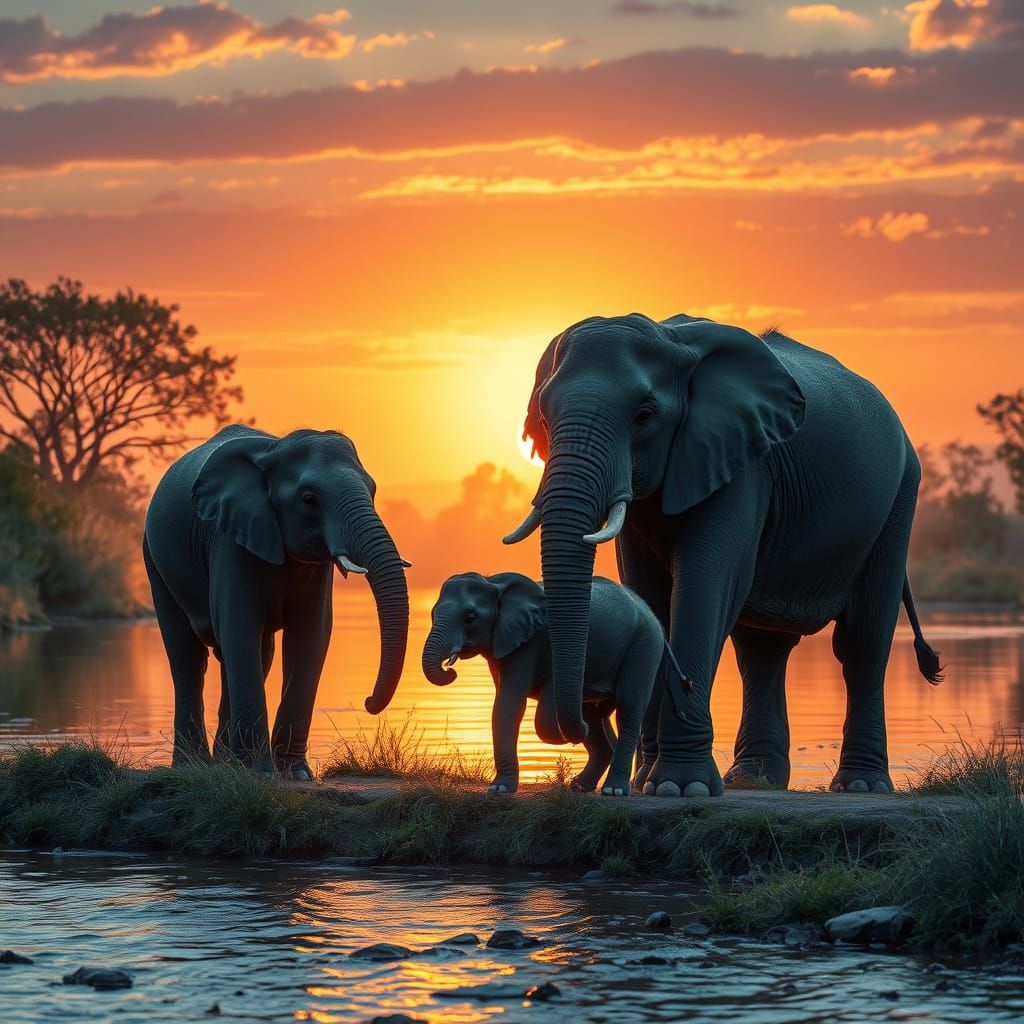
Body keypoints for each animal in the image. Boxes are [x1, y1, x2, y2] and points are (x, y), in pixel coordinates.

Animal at [143, 424, 410, 779]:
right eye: (308, 499)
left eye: (373, 489)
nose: (368, 702)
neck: (273, 452)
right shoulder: (229, 538)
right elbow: (240, 626)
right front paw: (261, 774)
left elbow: (310, 636)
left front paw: (295, 775)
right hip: (154, 557)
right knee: (187, 655)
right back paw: (193, 767)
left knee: (253, 655)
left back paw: (225, 765)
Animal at [422, 572, 690, 796]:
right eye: (432, 614)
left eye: (470, 618)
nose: (449, 669)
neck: (494, 581)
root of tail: (652, 615)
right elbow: (506, 703)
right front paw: (499, 789)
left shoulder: (532, 642)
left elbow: (512, 703)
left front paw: (499, 789)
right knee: (596, 714)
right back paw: (580, 784)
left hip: (643, 645)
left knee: (628, 709)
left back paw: (613, 790)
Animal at [504, 313, 942, 797]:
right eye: (543, 417)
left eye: (644, 416)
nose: (584, 715)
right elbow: (649, 594)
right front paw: (645, 783)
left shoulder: (742, 462)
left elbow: (705, 584)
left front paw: (679, 789)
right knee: (761, 651)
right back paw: (753, 779)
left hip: (899, 497)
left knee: (862, 641)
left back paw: (861, 786)